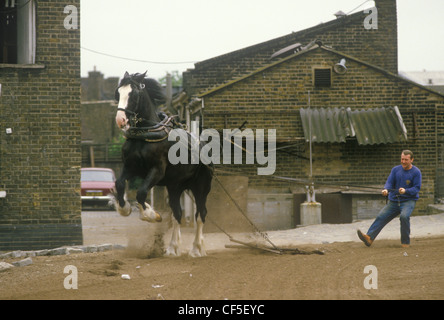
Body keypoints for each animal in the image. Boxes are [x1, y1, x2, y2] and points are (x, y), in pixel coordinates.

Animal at [113, 72, 212, 258]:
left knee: (200, 214)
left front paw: (151, 214)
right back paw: (173, 248)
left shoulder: (157, 171)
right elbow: (120, 183)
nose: (120, 120)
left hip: (201, 186)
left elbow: (141, 192)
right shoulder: (130, 168)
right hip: (175, 186)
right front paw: (124, 208)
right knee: (177, 213)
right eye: (118, 93)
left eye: (133, 94)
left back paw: (197, 248)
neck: (145, 135)